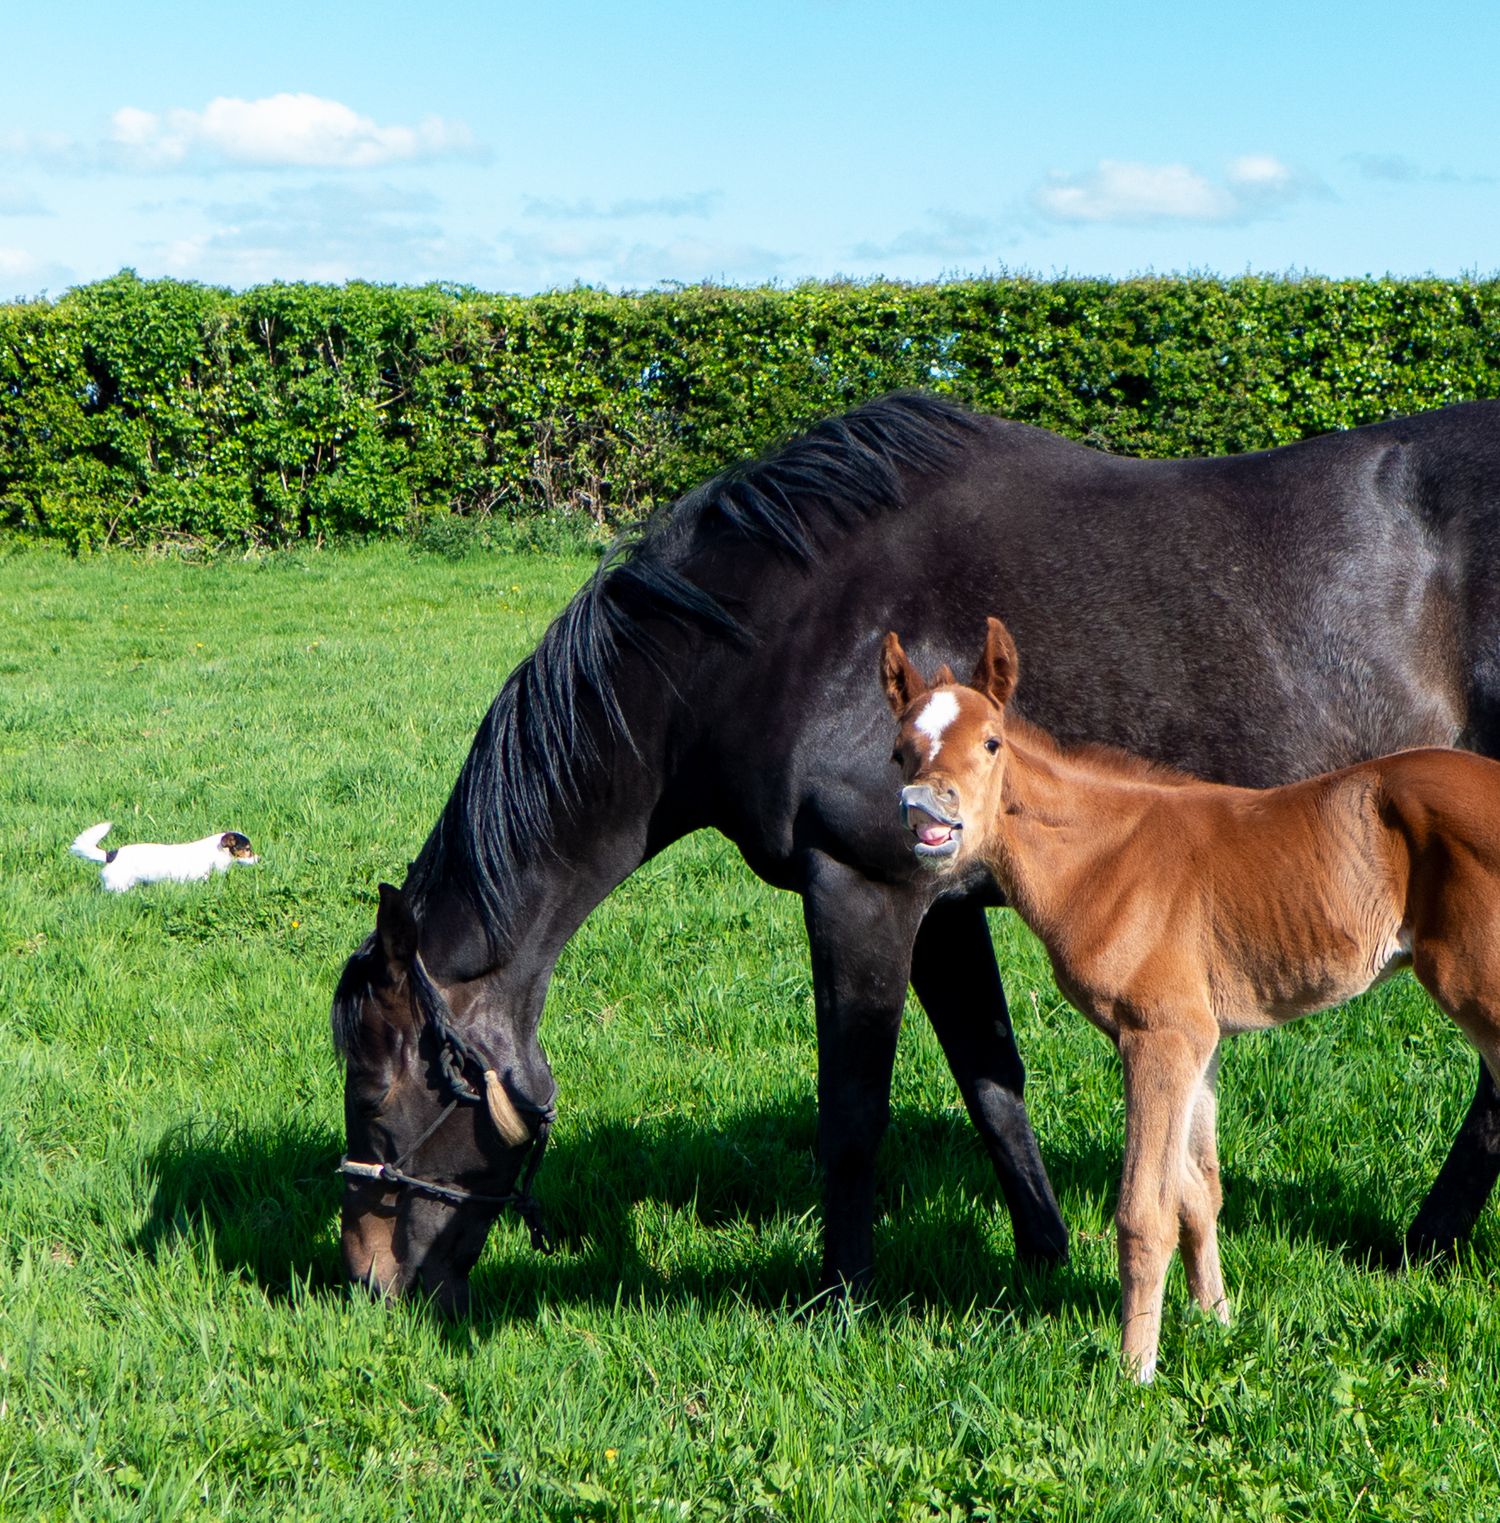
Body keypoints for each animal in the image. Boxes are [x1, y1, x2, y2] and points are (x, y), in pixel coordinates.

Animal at [882, 617, 1500, 1380]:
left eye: (991, 741)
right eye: (900, 751)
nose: (926, 812)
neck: (1103, 855)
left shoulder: (1158, 1037)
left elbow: (1144, 1209)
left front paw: (1135, 1370)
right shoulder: (1199, 1039)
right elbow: (1198, 1192)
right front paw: (1217, 1323)